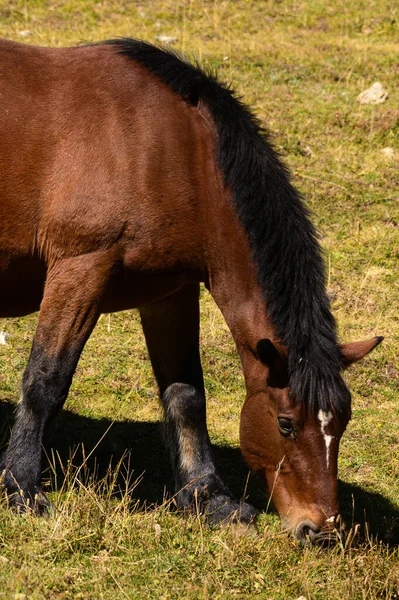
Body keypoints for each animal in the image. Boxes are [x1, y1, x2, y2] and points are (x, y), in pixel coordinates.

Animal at [0, 37, 382, 544]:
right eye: (285, 424)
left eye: (342, 421)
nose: (320, 529)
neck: (172, 150)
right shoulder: (80, 268)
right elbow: (46, 380)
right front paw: (22, 487)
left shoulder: (169, 292)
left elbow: (186, 395)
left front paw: (207, 497)